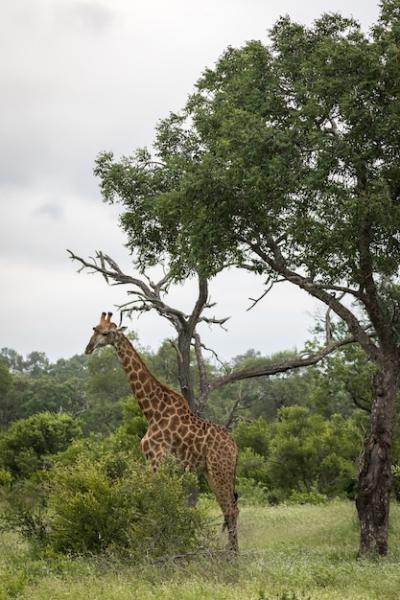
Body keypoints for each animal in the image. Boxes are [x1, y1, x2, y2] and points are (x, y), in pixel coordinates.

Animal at [84, 312, 239, 552]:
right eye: (94, 329)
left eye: (107, 333)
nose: (88, 348)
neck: (152, 411)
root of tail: (235, 447)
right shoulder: (158, 462)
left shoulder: (155, 458)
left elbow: (153, 500)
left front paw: (155, 546)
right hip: (212, 472)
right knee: (229, 507)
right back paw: (232, 552)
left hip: (219, 469)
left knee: (231, 509)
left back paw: (232, 555)